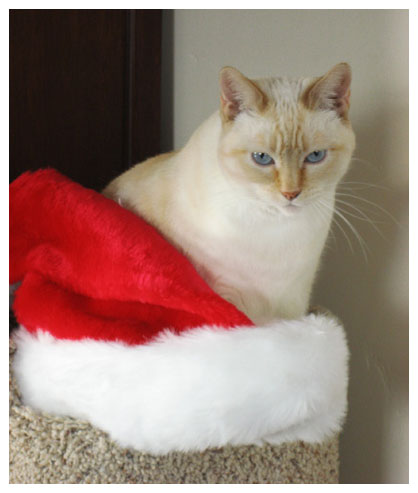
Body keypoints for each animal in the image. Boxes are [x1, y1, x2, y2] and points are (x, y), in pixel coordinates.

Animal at [104, 63, 356, 324]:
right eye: (262, 158)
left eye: (315, 156)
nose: (290, 193)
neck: (275, 230)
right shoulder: (228, 295)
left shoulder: (293, 302)